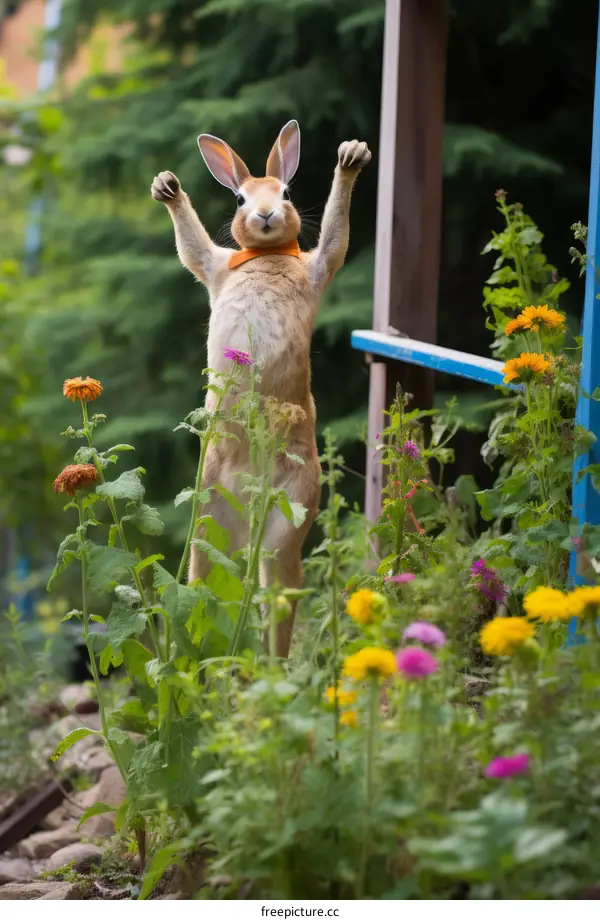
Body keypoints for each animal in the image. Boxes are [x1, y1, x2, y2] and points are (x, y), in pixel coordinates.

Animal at [151, 120, 371, 657]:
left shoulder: (322, 265)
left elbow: (336, 235)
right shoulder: (213, 267)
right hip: (210, 517)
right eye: (239, 199)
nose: (266, 214)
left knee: (274, 592)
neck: (267, 255)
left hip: (290, 515)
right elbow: (191, 246)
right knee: (210, 582)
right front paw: (167, 187)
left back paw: (266, 666)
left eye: (286, 192)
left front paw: (351, 157)